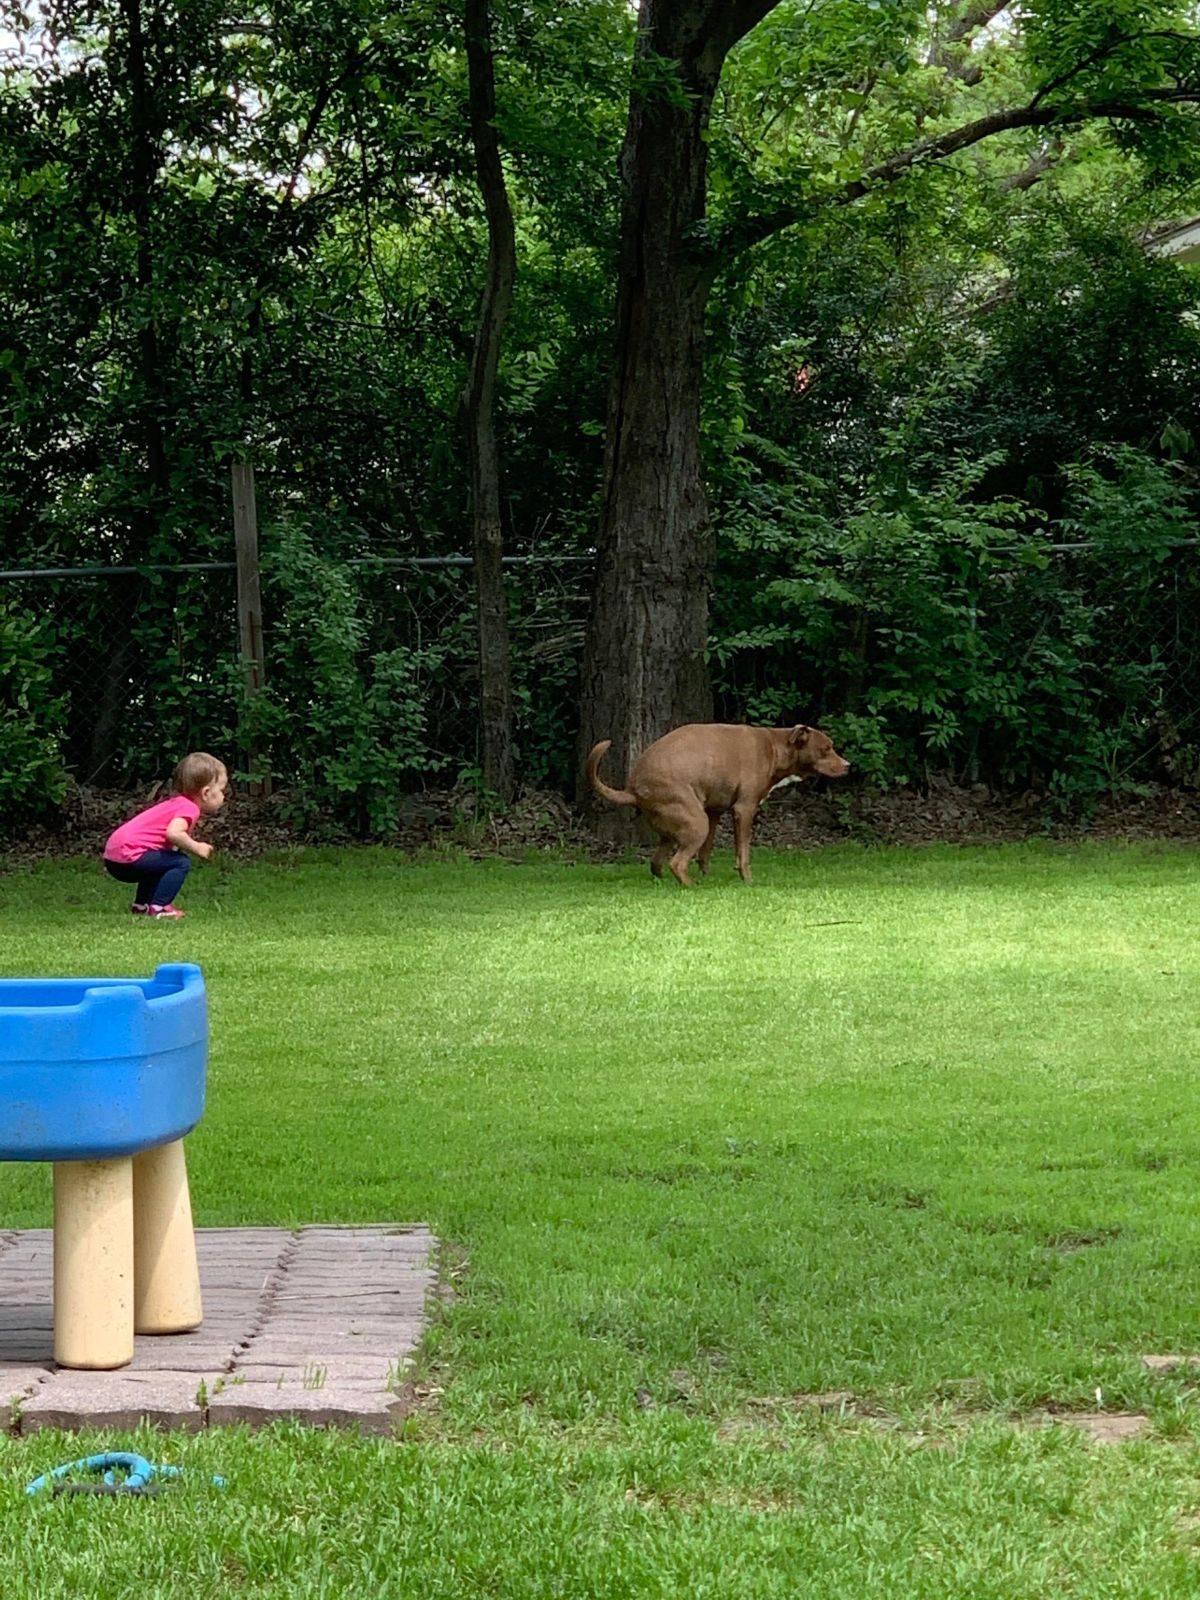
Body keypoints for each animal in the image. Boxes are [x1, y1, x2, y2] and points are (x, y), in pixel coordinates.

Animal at [585, 726, 851, 889]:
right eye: (826, 749)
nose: (848, 765)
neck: (775, 747)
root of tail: (632, 787)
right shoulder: (744, 810)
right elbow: (743, 853)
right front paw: (747, 881)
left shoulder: (714, 812)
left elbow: (706, 853)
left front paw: (709, 877)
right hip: (696, 823)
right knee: (676, 863)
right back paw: (691, 887)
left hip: (676, 828)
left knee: (656, 862)